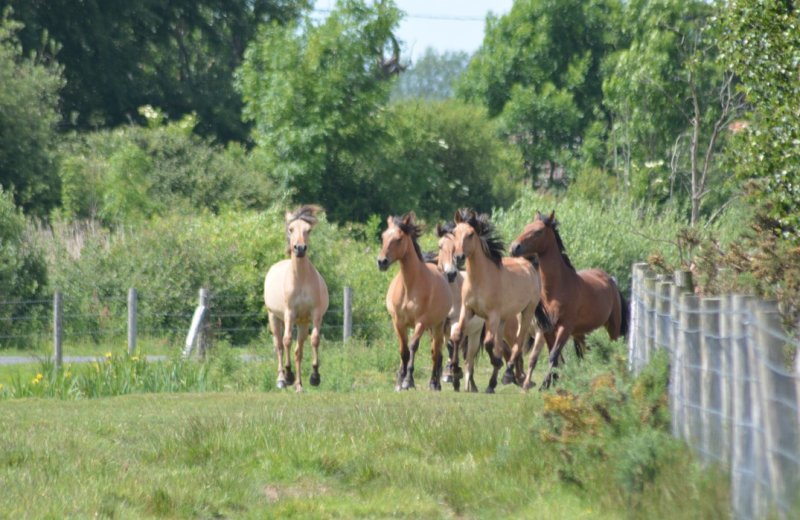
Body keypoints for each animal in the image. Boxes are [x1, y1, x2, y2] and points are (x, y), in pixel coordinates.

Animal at [260, 205, 326, 392]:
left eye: (308, 230)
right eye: (290, 229)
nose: (300, 248)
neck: (301, 279)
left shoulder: (315, 314)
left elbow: (314, 340)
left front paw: (315, 377)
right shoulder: (289, 313)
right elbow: (287, 340)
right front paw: (288, 375)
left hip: (302, 323)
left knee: (299, 350)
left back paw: (299, 385)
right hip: (274, 317)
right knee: (279, 346)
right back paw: (282, 379)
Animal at [378, 212, 454, 390]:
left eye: (399, 239)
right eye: (383, 236)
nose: (382, 262)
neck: (409, 286)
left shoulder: (422, 322)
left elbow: (413, 346)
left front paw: (408, 380)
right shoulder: (398, 322)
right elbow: (403, 351)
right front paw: (400, 381)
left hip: (438, 325)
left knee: (436, 353)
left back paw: (435, 383)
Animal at [450, 209, 544, 392]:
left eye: (471, 234)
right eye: (455, 233)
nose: (458, 257)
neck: (480, 279)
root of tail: (528, 263)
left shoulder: (491, 316)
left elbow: (488, 343)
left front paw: (496, 362)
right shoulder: (468, 310)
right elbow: (458, 335)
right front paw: (455, 369)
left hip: (526, 313)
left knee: (517, 343)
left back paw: (509, 375)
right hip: (503, 320)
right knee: (502, 346)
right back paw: (492, 384)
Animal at [510, 209, 628, 388]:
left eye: (538, 232)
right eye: (526, 227)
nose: (514, 247)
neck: (557, 289)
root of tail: (611, 280)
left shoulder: (564, 328)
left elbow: (554, 354)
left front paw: (546, 383)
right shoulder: (548, 329)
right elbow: (555, 356)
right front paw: (550, 382)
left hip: (612, 326)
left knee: (612, 347)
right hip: (580, 333)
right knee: (587, 352)